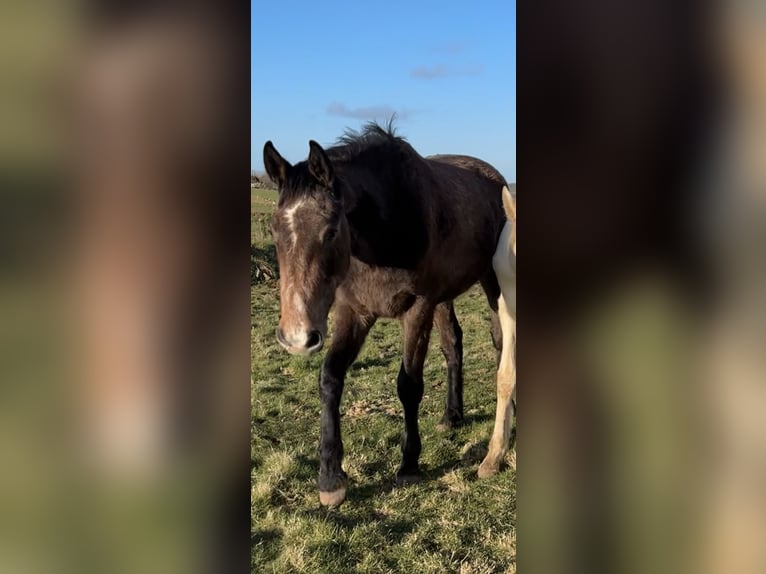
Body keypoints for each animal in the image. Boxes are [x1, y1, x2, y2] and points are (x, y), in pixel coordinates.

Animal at [264, 120, 510, 504]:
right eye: (274, 230)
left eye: (330, 230)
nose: (296, 336)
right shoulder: (354, 311)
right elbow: (330, 378)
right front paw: (330, 477)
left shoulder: (418, 309)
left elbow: (408, 384)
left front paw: (409, 464)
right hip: (444, 299)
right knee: (453, 345)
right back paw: (452, 415)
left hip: (491, 283)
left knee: (499, 342)